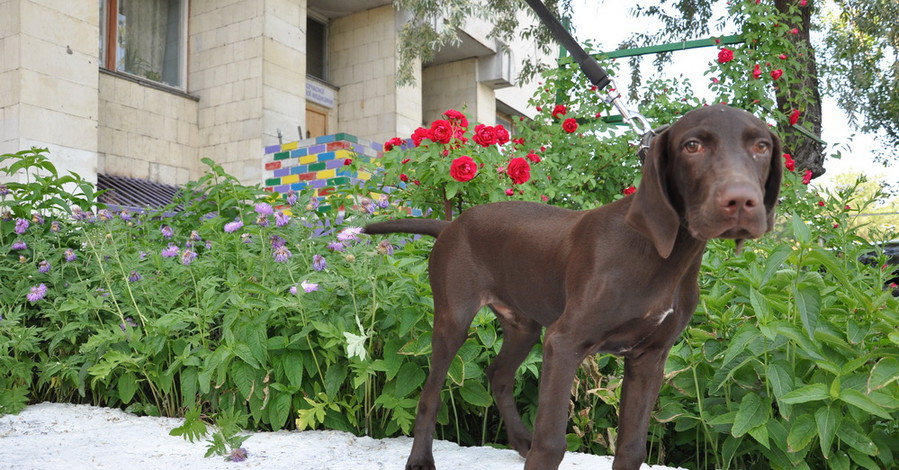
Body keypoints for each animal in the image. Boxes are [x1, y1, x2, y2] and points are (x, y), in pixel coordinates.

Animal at [366, 104, 780, 468]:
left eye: (762, 147)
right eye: (692, 145)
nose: (741, 201)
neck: (662, 254)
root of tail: (451, 225)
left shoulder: (649, 359)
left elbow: (631, 448)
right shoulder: (564, 344)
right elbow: (551, 444)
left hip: (524, 326)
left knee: (498, 375)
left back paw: (519, 439)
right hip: (454, 319)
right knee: (430, 394)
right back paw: (421, 459)